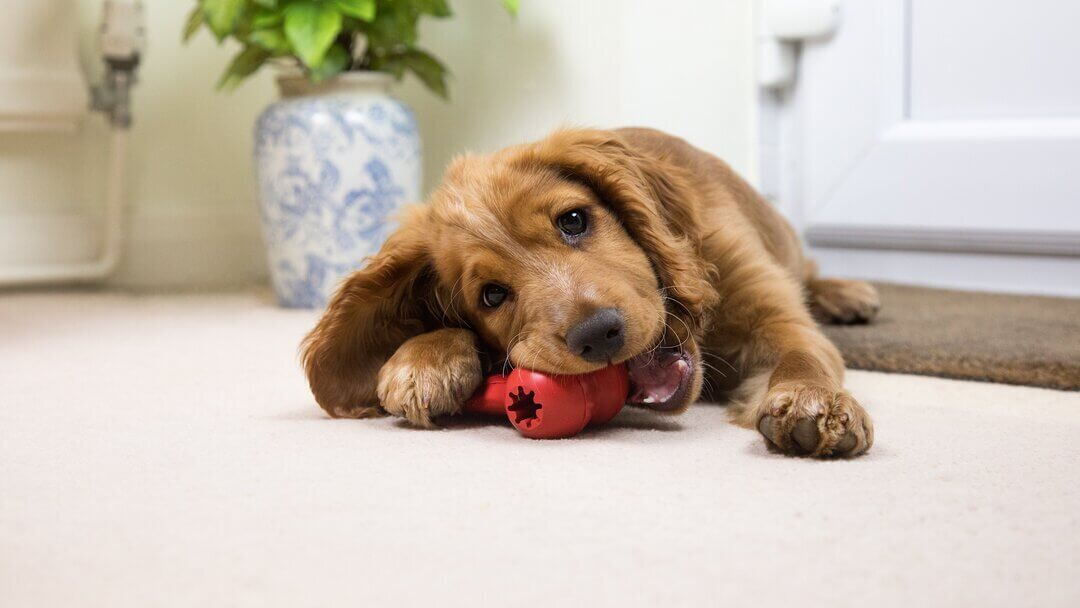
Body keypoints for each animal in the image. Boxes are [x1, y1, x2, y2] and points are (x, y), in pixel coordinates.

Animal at [302, 130, 876, 460]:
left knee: (810, 271)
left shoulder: (772, 312)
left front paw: (816, 403)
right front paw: (423, 360)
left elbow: (802, 353)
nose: (598, 335)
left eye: (574, 220)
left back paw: (848, 293)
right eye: (491, 295)